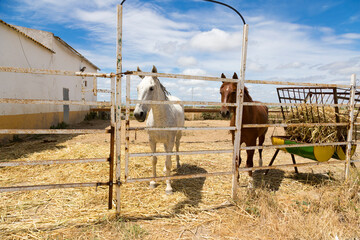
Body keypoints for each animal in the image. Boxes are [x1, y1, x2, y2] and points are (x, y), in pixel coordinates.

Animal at [134, 65, 184, 195]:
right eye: (137, 88)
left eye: (151, 88)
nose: (138, 114)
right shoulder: (152, 141)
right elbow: (154, 160)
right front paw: (153, 182)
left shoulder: (170, 140)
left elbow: (168, 162)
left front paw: (168, 187)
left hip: (178, 136)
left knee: (176, 149)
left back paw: (177, 164)